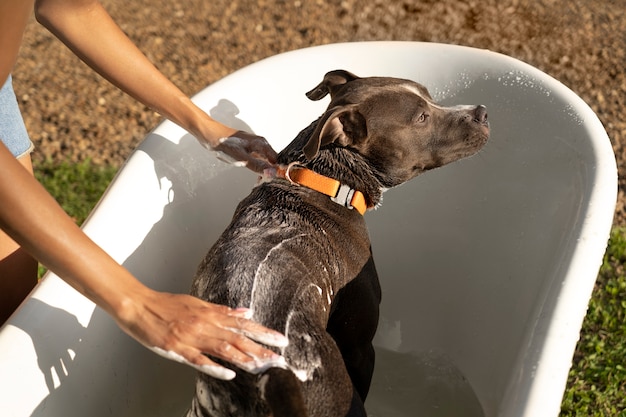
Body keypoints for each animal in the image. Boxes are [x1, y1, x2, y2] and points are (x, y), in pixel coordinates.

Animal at [185, 70, 488, 414]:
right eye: (421, 117)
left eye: (431, 97)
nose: (482, 112)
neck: (324, 181)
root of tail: (260, 376)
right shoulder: (359, 346)